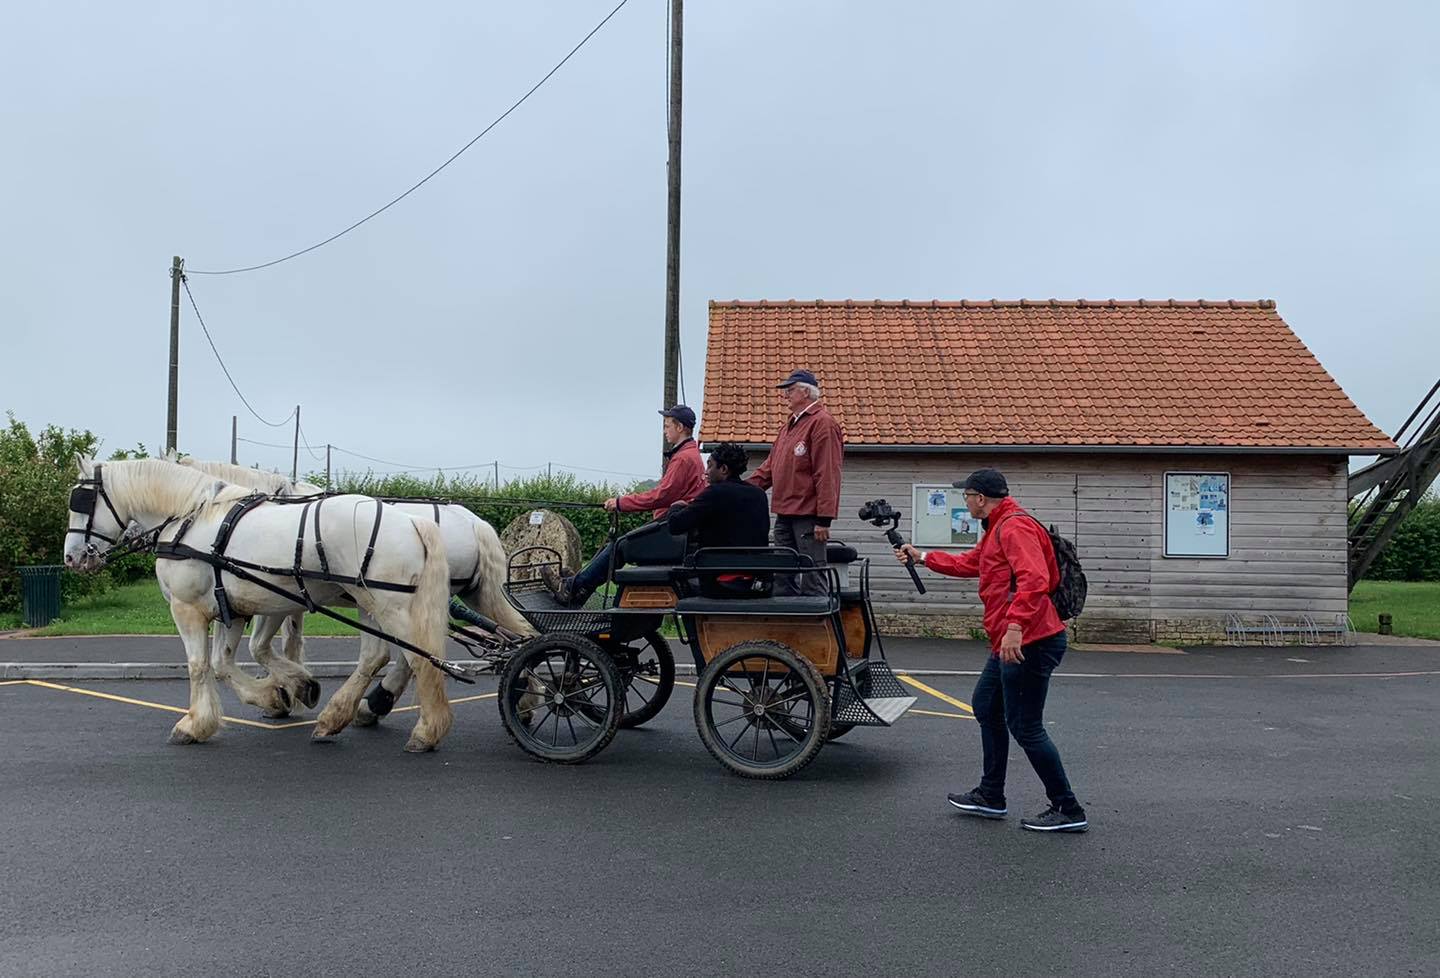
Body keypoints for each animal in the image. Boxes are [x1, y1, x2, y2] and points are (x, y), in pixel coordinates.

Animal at [61, 458, 452, 748]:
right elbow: (223, 663)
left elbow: (199, 665)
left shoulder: (187, 608)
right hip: (368, 603)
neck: (191, 518)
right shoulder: (233, 609)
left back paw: (427, 730)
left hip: (389, 606)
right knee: (377, 656)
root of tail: (412, 521)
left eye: (80, 501)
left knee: (421, 657)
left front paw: (194, 724)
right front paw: (286, 692)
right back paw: (334, 718)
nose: (71, 557)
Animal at [168, 455, 529, 723]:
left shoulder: (275, 597)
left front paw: (289, 693)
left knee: (413, 652)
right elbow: (285, 643)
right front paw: (290, 692)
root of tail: (473, 521)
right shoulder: (285, 599)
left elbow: (262, 647)